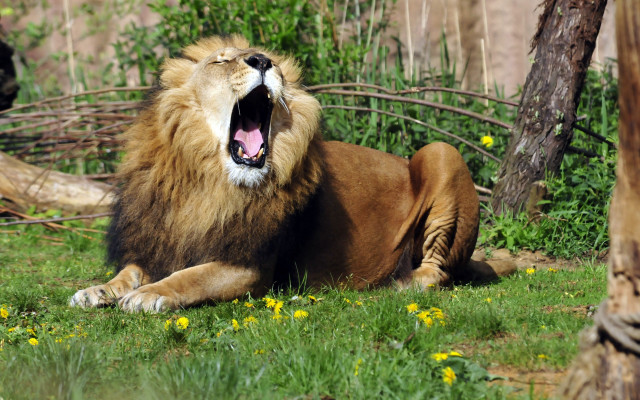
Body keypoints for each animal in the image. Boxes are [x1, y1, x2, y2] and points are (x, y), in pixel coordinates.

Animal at [69, 35, 515, 312]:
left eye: (274, 63)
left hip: (442, 153)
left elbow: (190, 277)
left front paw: (149, 295)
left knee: (437, 273)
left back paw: (397, 283)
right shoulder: (160, 238)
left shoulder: (249, 266)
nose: (262, 62)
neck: (208, 180)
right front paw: (98, 290)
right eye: (221, 60)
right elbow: (130, 271)